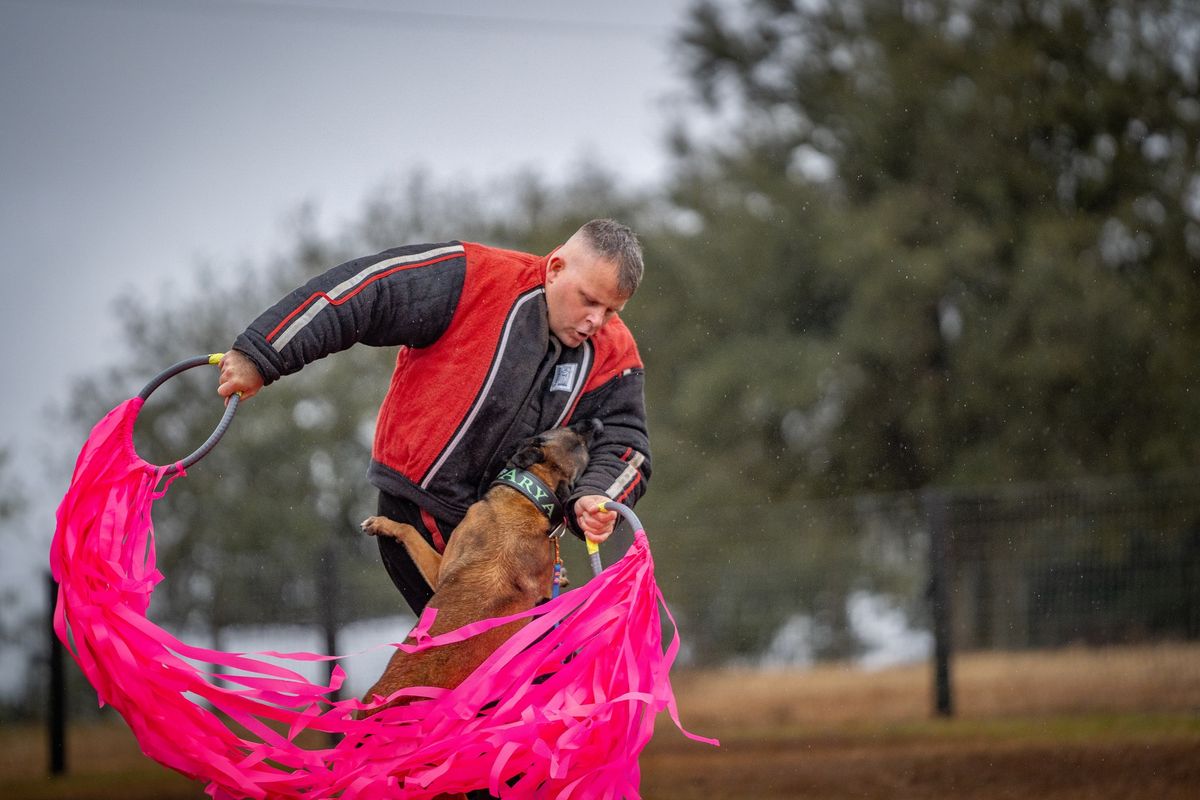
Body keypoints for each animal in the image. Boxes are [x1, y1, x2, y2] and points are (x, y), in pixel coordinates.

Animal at [355, 419, 600, 719]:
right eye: (578, 435)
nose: (597, 423)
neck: (530, 499)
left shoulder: (439, 570)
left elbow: (408, 530)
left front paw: (380, 524)